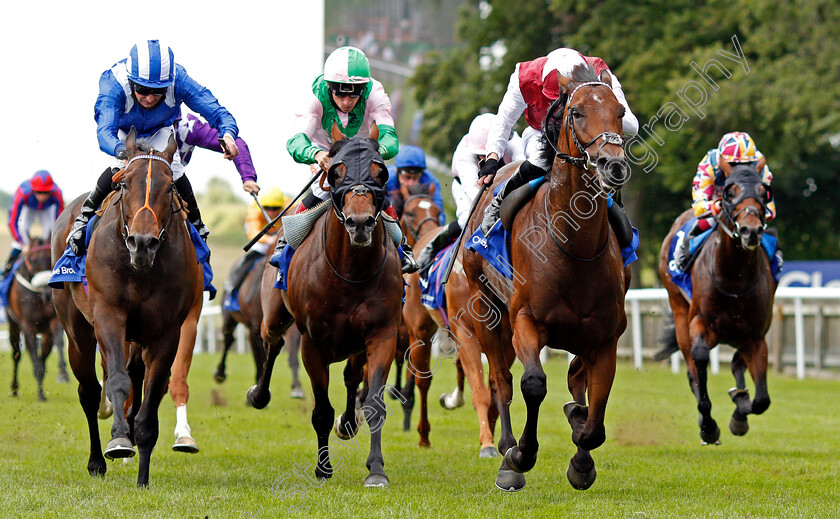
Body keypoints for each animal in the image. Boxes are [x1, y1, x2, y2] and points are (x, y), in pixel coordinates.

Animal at [5, 238, 68, 400]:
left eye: (50, 257)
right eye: (33, 260)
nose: (47, 294)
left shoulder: (53, 321)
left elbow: (58, 342)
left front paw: (63, 373)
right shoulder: (28, 325)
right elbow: (32, 353)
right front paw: (40, 394)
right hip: (13, 324)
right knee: (16, 354)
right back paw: (14, 389)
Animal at [53, 128, 203, 486]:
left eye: (170, 187)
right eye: (124, 185)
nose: (142, 243)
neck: (141, 270)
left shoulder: (167, 332)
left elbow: (151, 398)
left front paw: (143, 475)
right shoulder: (109, 315)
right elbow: (118, 382)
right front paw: (119, 441)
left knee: (135, 376)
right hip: (78, 333)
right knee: (90, 390)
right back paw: (97, 460)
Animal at [253, 125, 404, 488]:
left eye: (380, 172)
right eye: (336, 172)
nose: (360, 223)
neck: (351, 272)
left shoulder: (382, 334)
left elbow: (374, 403)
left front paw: (376, 470)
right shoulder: (313, 343)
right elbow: (321, 410)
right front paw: (323, 468)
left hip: (356, 344)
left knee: (351, 376)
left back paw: (348, 423)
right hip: (274, 315)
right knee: (272, 342)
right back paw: (258, 394)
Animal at [462, 64, 632, 492]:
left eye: (620, 112)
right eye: (577, 112)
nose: (613, 165)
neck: (574, 246)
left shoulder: (605, 337)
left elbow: (594, 411)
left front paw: (582, 461)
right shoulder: (526, 320)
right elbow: (533, 384)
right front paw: (521, 455)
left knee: (575, 382)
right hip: (485, 305)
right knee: (501, 380)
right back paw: (506, 451)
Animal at [660, 160, 776, 444]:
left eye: (763, 192)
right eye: (729, 192)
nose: (751, 231)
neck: (734, 279)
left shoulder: (756, 337)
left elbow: (761, 400)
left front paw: (740, 411)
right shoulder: (699, 322)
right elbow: (700, 360)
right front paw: (709, 426)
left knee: (736, 363)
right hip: (679, 310)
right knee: (692, 369)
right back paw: (707, 424)